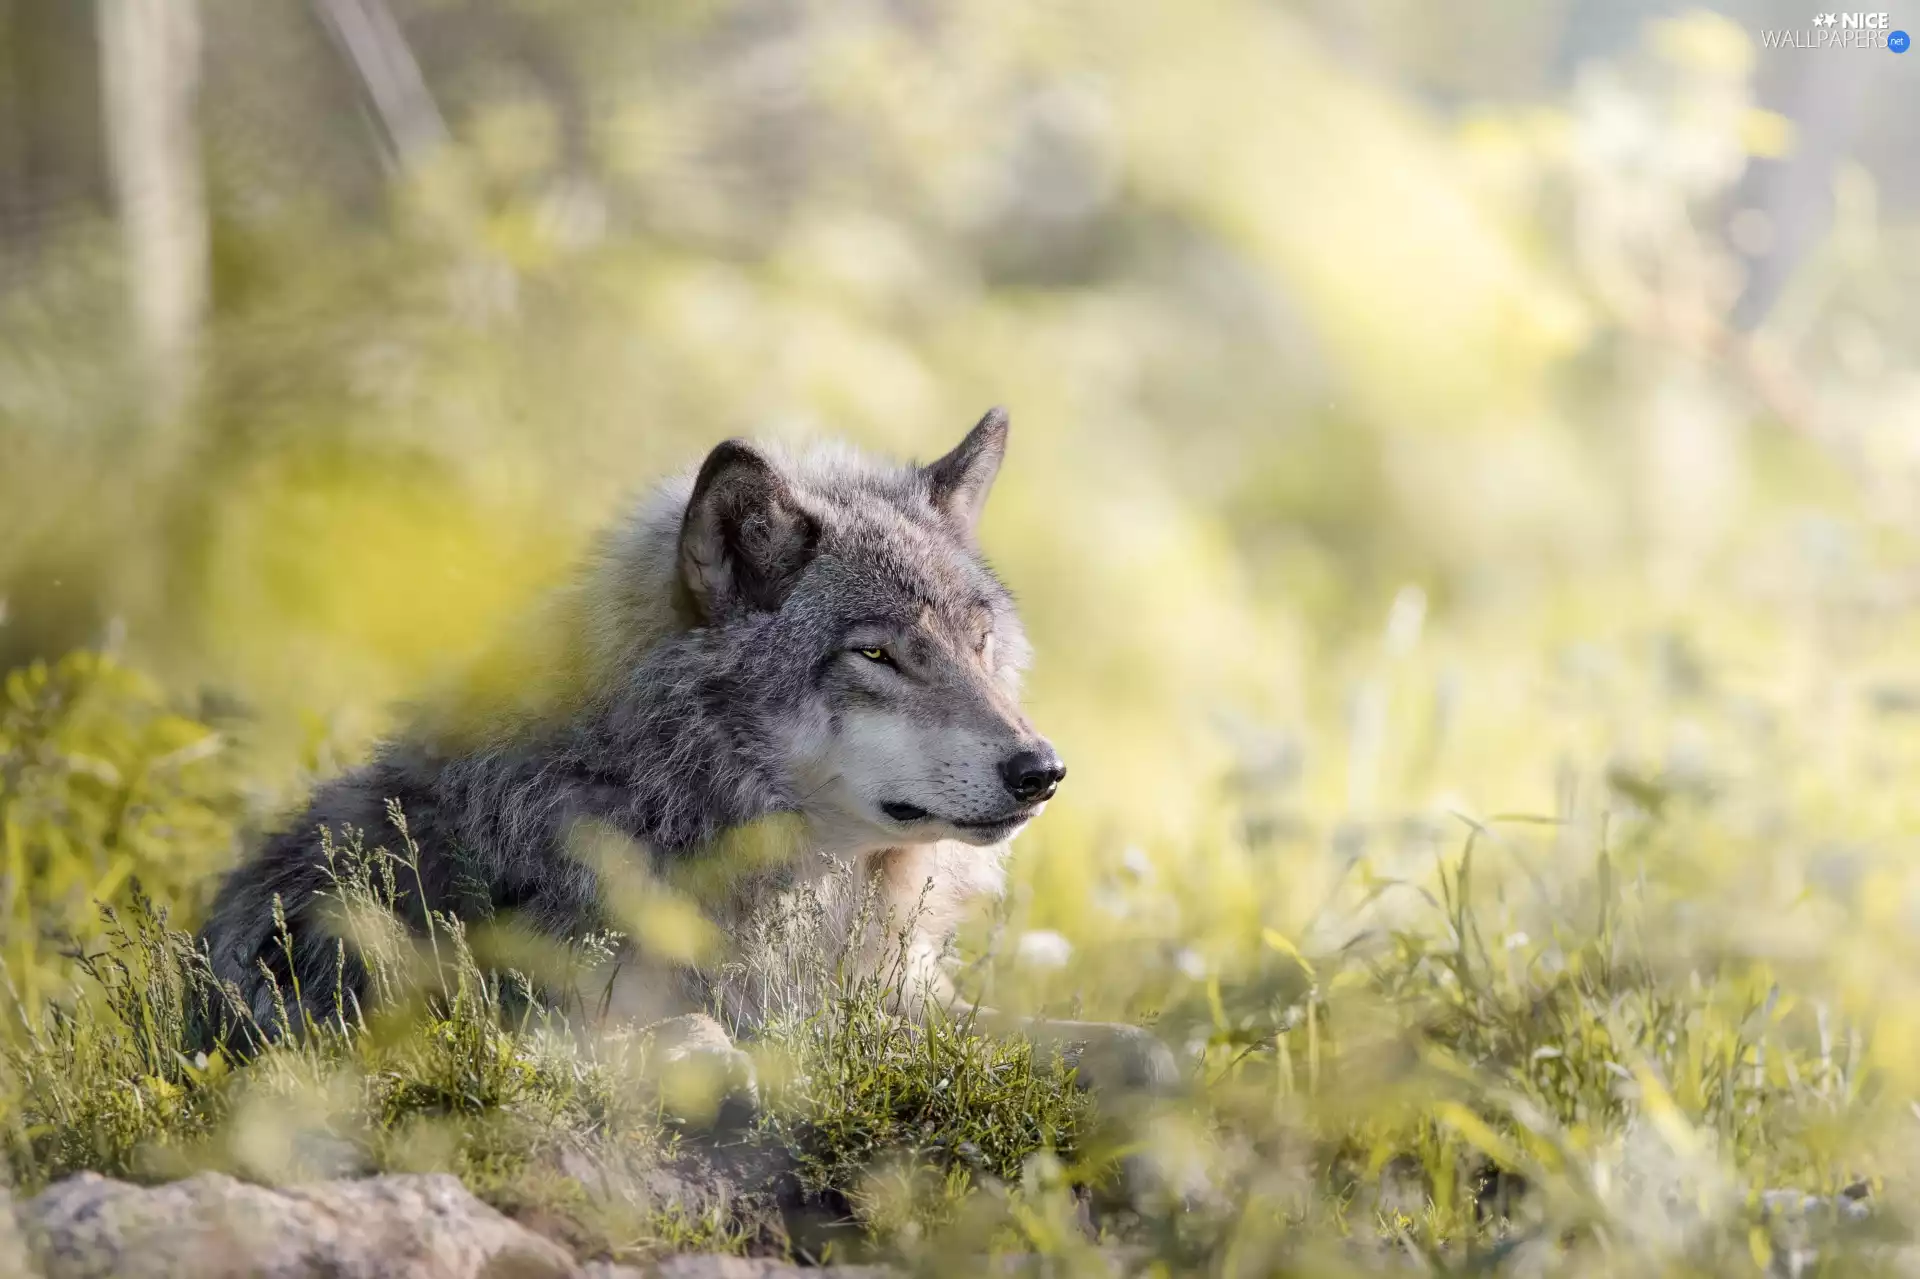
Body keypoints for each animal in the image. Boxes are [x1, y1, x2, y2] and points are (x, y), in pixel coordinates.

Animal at [196, 408, 1173, 1095]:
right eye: (875, 653)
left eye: (978, 641)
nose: (1041, 772)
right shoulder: (490, 1019)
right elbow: (675, 1035)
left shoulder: (900, 1003)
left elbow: (1140, 1048)